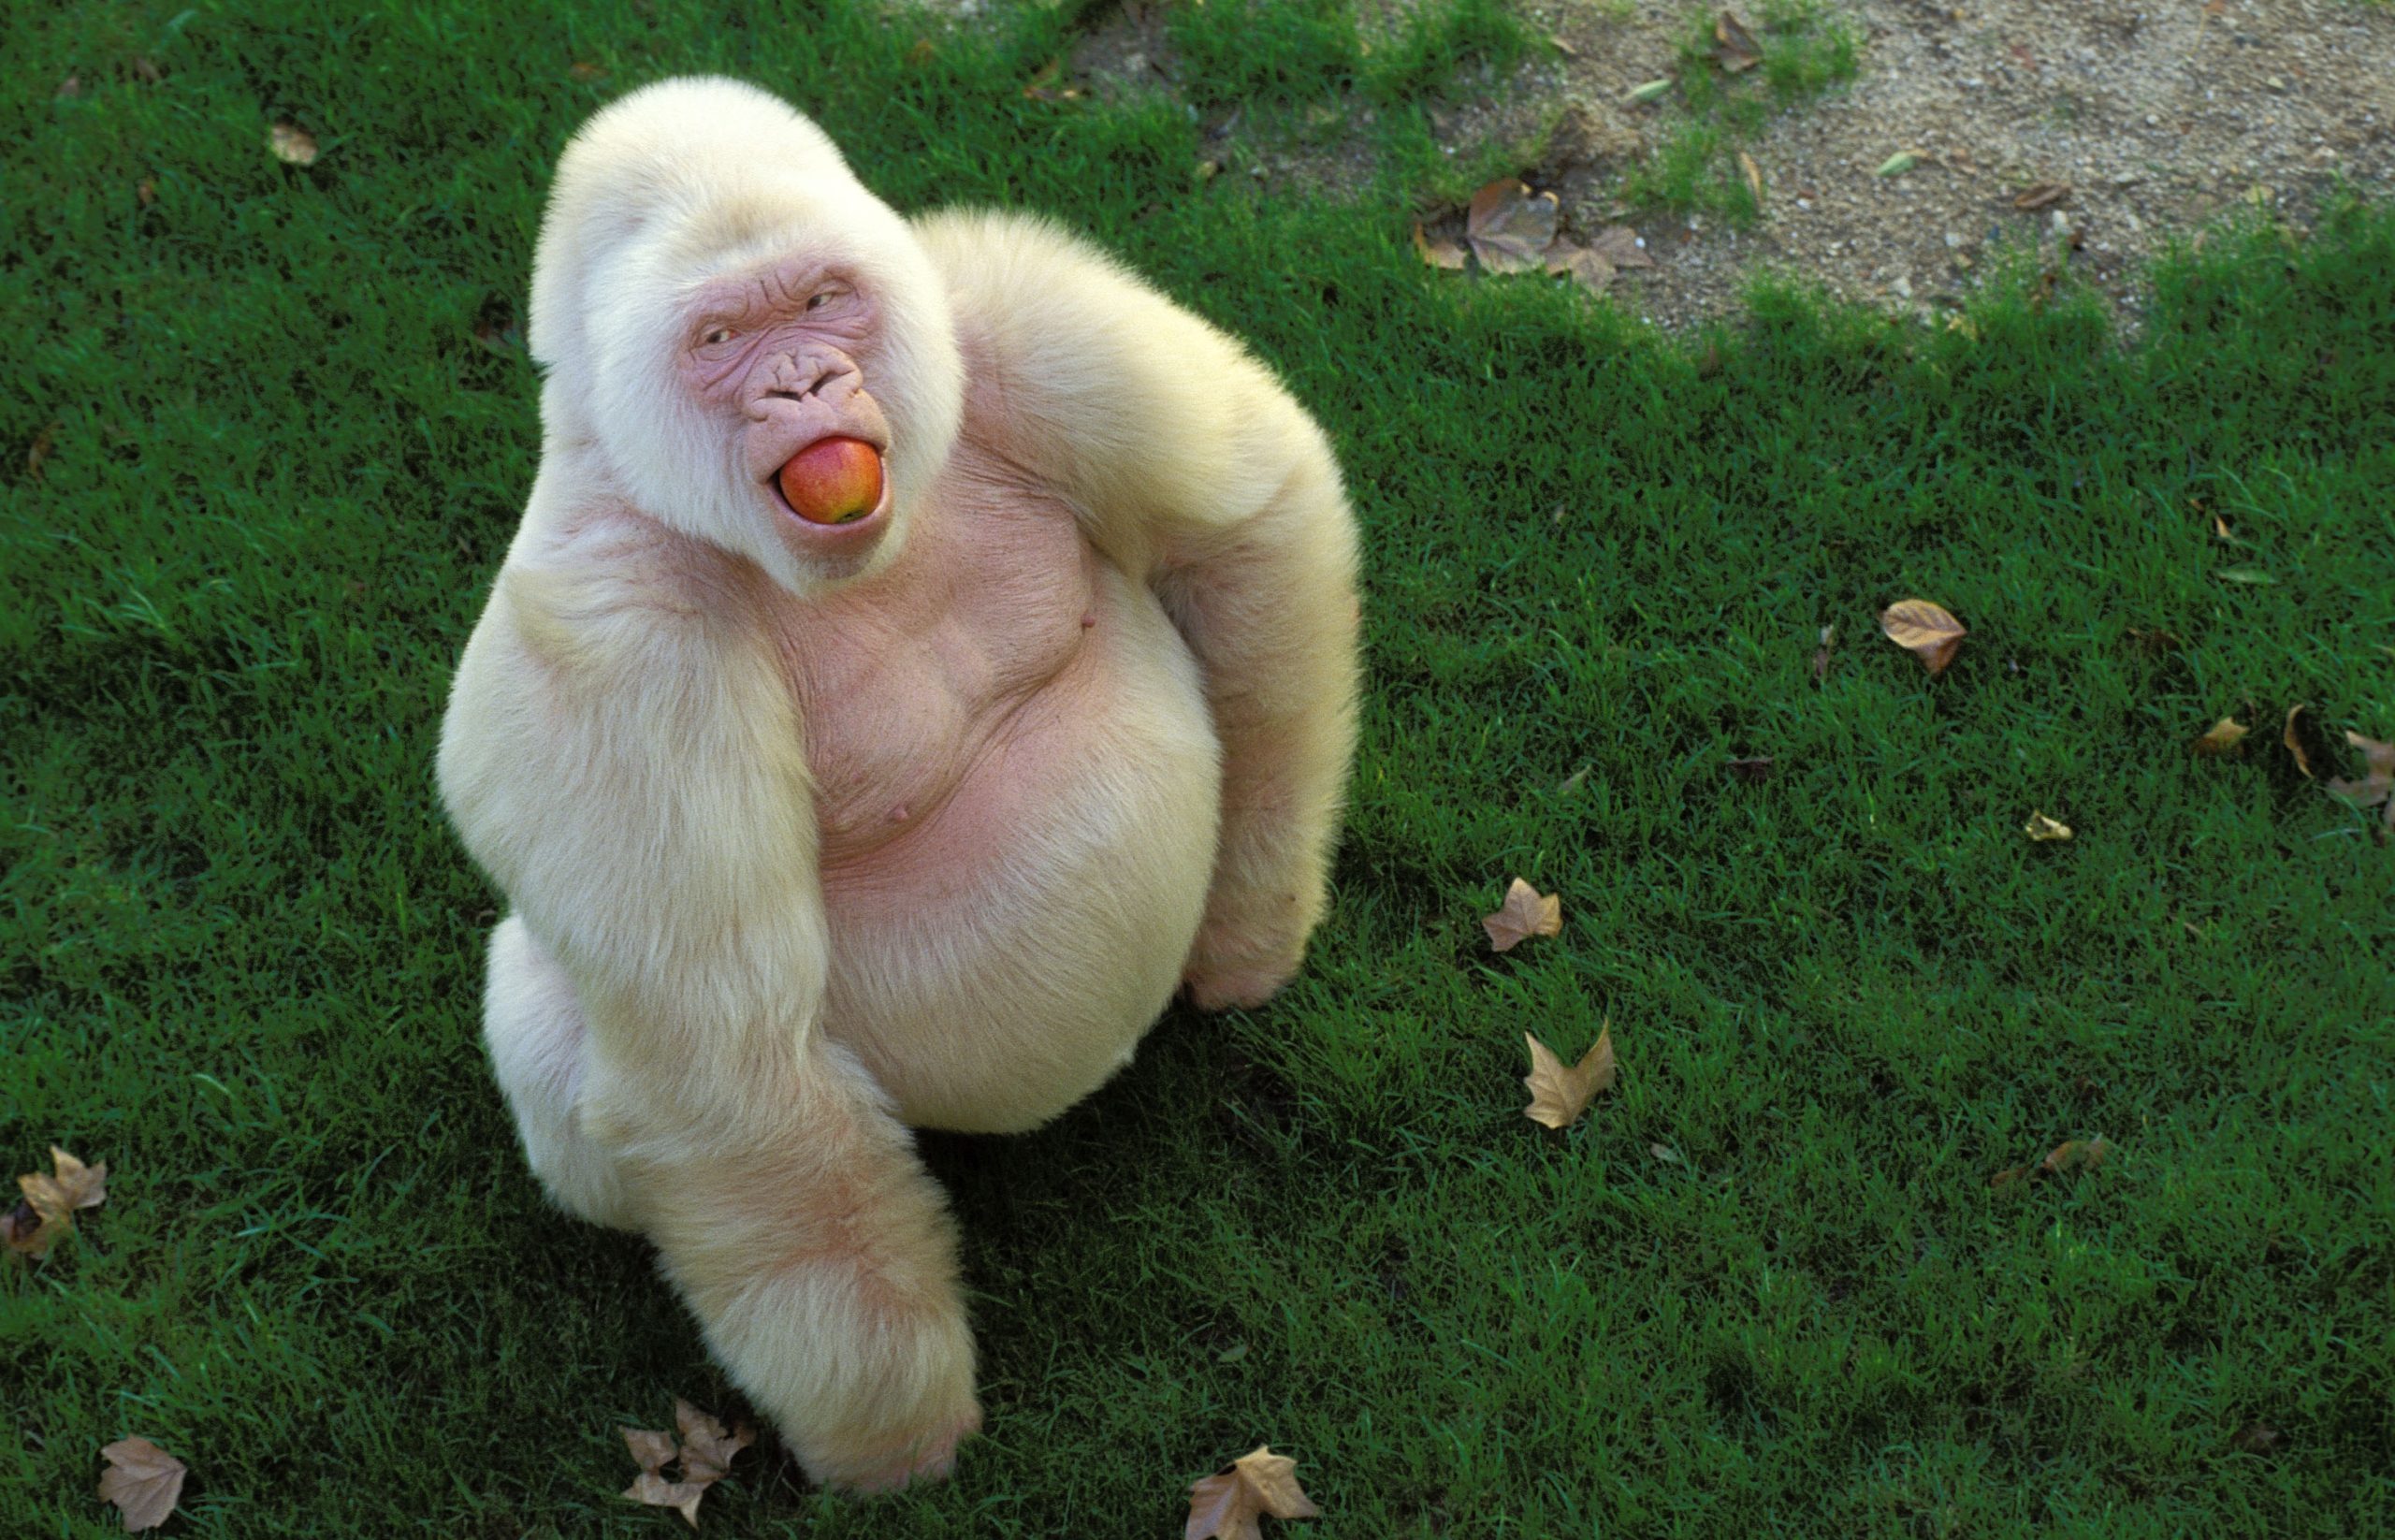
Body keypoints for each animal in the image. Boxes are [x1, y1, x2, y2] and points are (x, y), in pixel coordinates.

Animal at [437, 76, 1360, 1493]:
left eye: (821, 299)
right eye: (720, 336)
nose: (806, 381)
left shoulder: (1024, 318)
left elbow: (1248, 523)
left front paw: (1248, 931)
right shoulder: (609, 648)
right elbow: (733, 1074)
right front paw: (894, 1432)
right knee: (555, 1022)